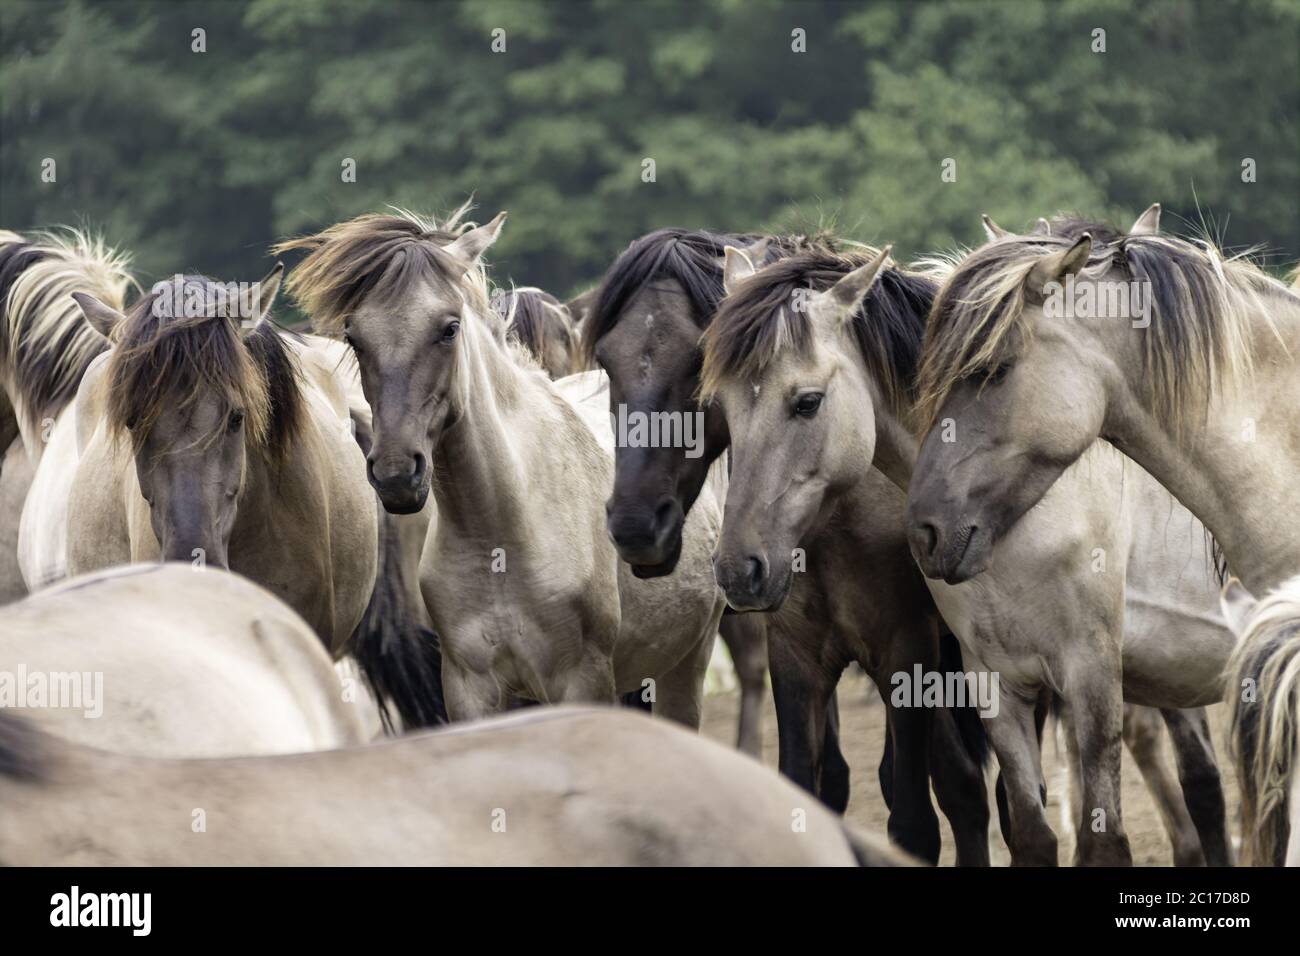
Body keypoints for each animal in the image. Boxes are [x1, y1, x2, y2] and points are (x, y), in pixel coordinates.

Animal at [274, 205, 728, 723]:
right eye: (354, 337)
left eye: (449, 328)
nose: (396, 474)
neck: (504, 531)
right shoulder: (471, 689)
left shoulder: (583, 682)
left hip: (686, 663)